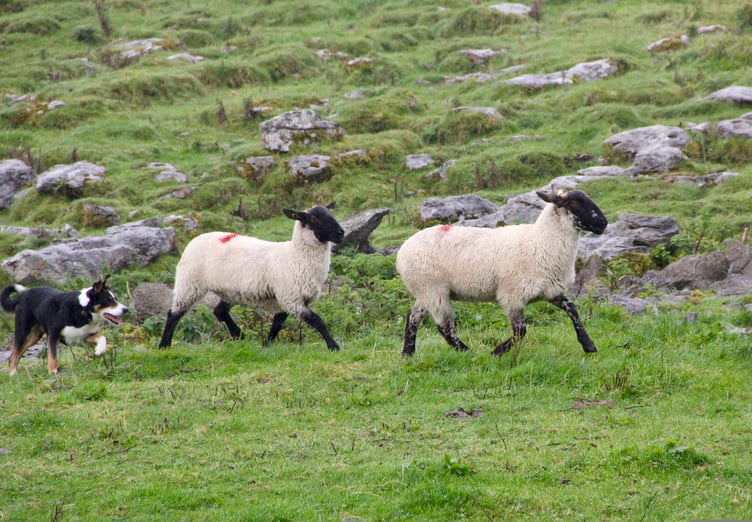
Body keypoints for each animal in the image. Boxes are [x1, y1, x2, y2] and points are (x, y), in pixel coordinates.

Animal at [158, 203, 345, 350]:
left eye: (331, 214)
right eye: (314, 219)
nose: (341, 233)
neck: (296, 256)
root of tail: (196, 238)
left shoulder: (287, 299)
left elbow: (277, 325)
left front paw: (266, 344)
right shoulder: (291, 298)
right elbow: (317, 321)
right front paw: (333, 346)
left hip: (230, 291)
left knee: (219, 311)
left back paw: (239, 335)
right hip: (189, 282)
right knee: (174, 314)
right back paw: (164, 345)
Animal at [395, 189, 608, 356]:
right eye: (576, 202)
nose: (603, 223)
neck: (540, 242)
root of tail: (402, 250)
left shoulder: (549, 290)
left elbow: (572, 308)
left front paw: (589, 345)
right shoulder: (512, 296)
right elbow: (521, 331)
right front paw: (496, 351)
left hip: (426, 291)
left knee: (413, 316)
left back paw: (408, 352)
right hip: (434, 289)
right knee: (444, 327)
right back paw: (467, 352)